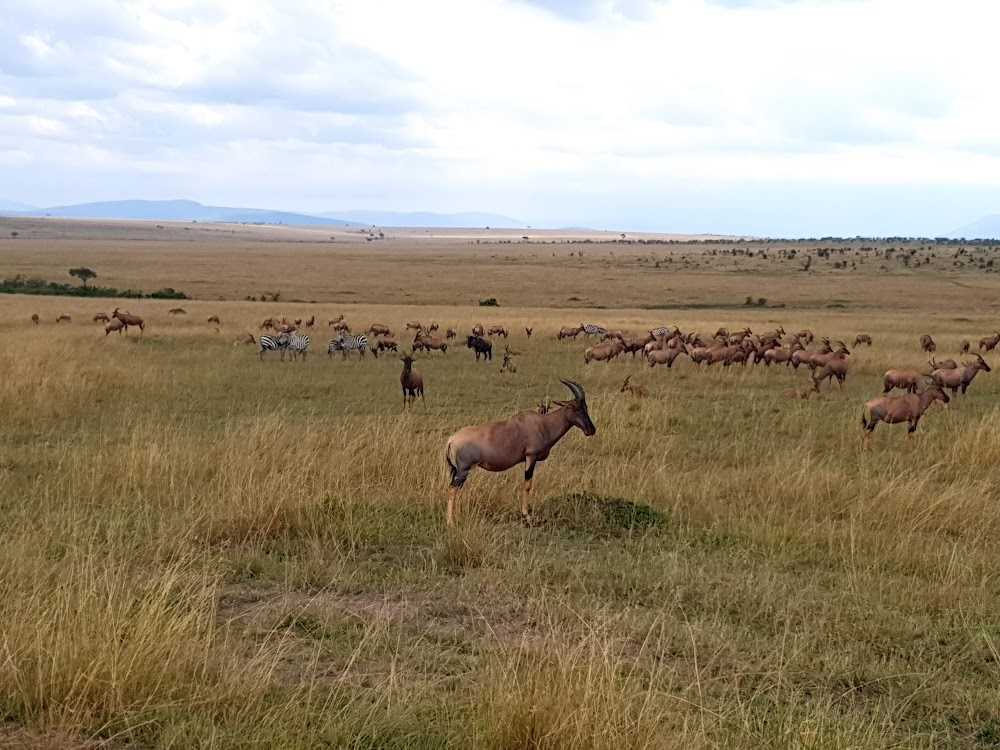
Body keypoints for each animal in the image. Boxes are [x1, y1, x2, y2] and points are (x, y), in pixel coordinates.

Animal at [444, 378, 592, 524]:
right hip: (463, 470)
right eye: (575, 408)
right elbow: (527, 485)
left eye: (586, 407)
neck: (542, 423)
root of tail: (451, 439)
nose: (592, 430)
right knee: (452, 489)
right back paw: (450, 522)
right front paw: (527, 515)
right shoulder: (531, 457)